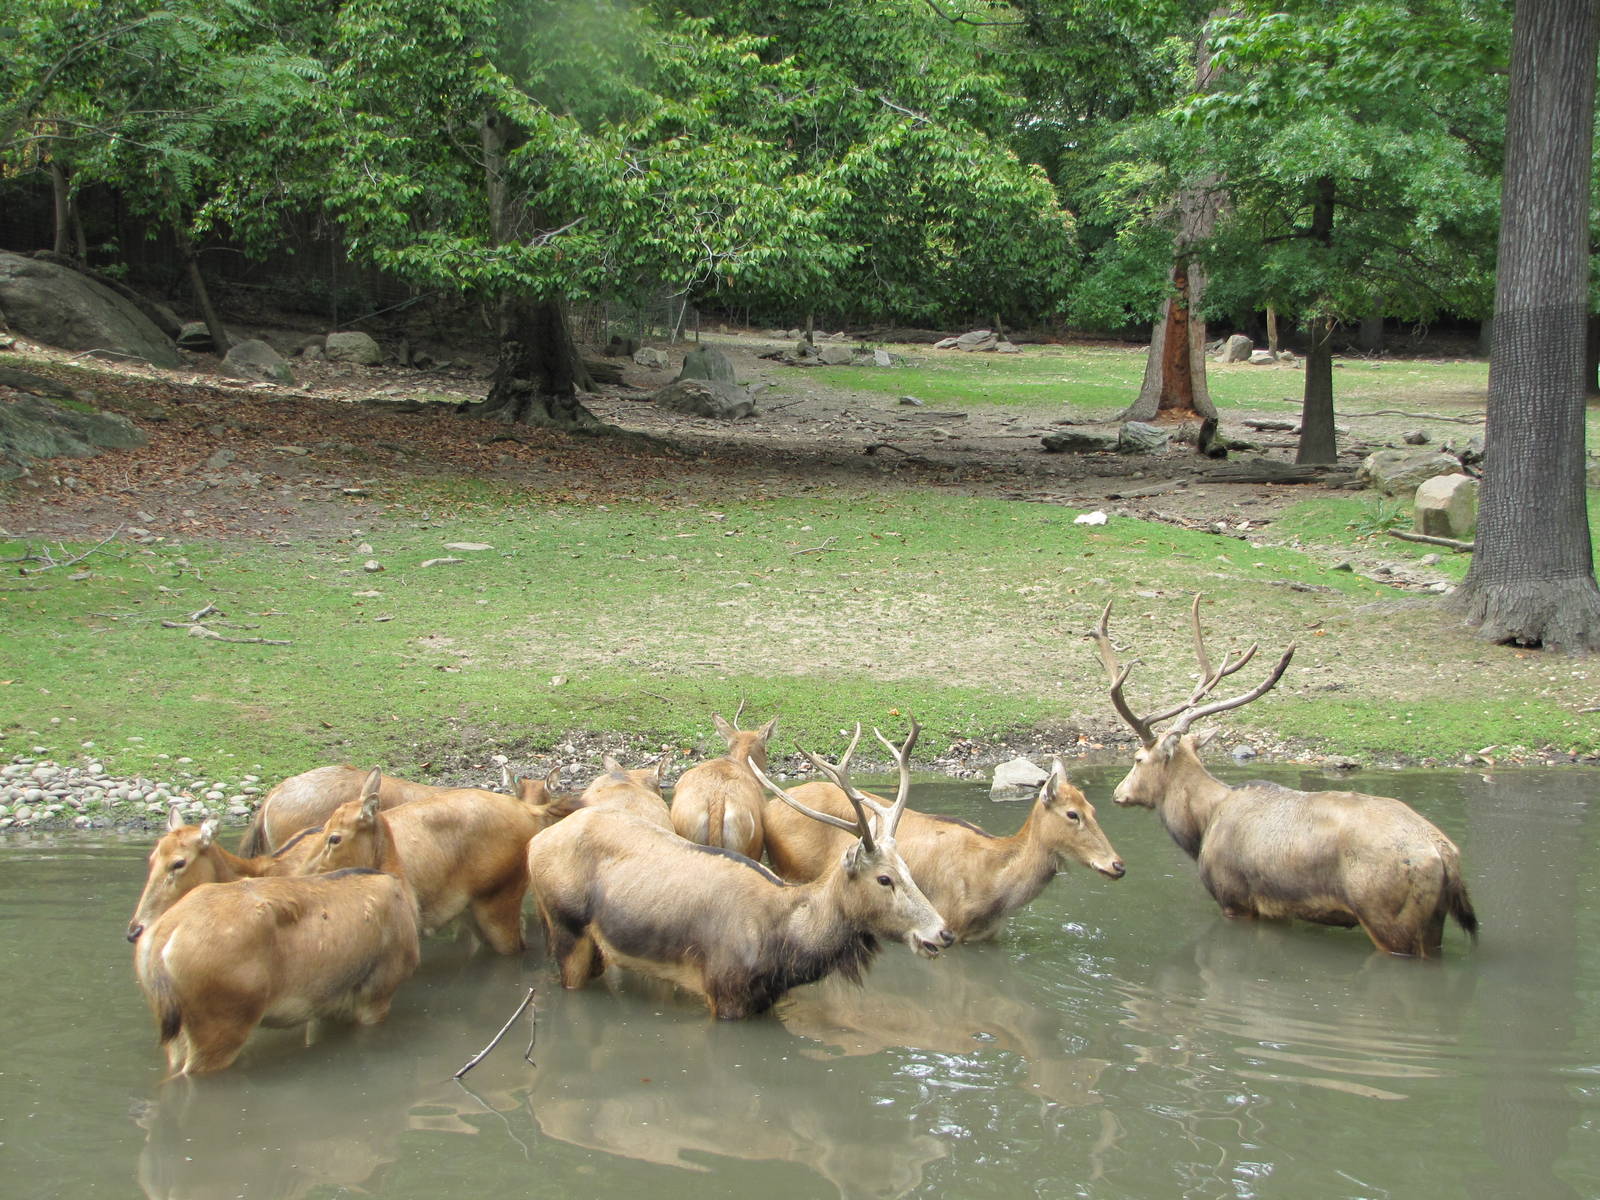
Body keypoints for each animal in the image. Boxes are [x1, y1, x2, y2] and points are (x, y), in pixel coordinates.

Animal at [762, 754, 1125, 942]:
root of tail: (768, 809)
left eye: (1094, 809)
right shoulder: (950, 925)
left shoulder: (988, 939)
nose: (1118, 865)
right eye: (1072, 814)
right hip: (792, 871)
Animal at [1091, 596, 1477, 957]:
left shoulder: (1234, 898)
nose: (1119, 793)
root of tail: (1445, 856)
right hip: (1432, 924)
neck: (1203, 825)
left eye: (1138, 758)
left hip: (1387, 915)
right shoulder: (1278, 909)